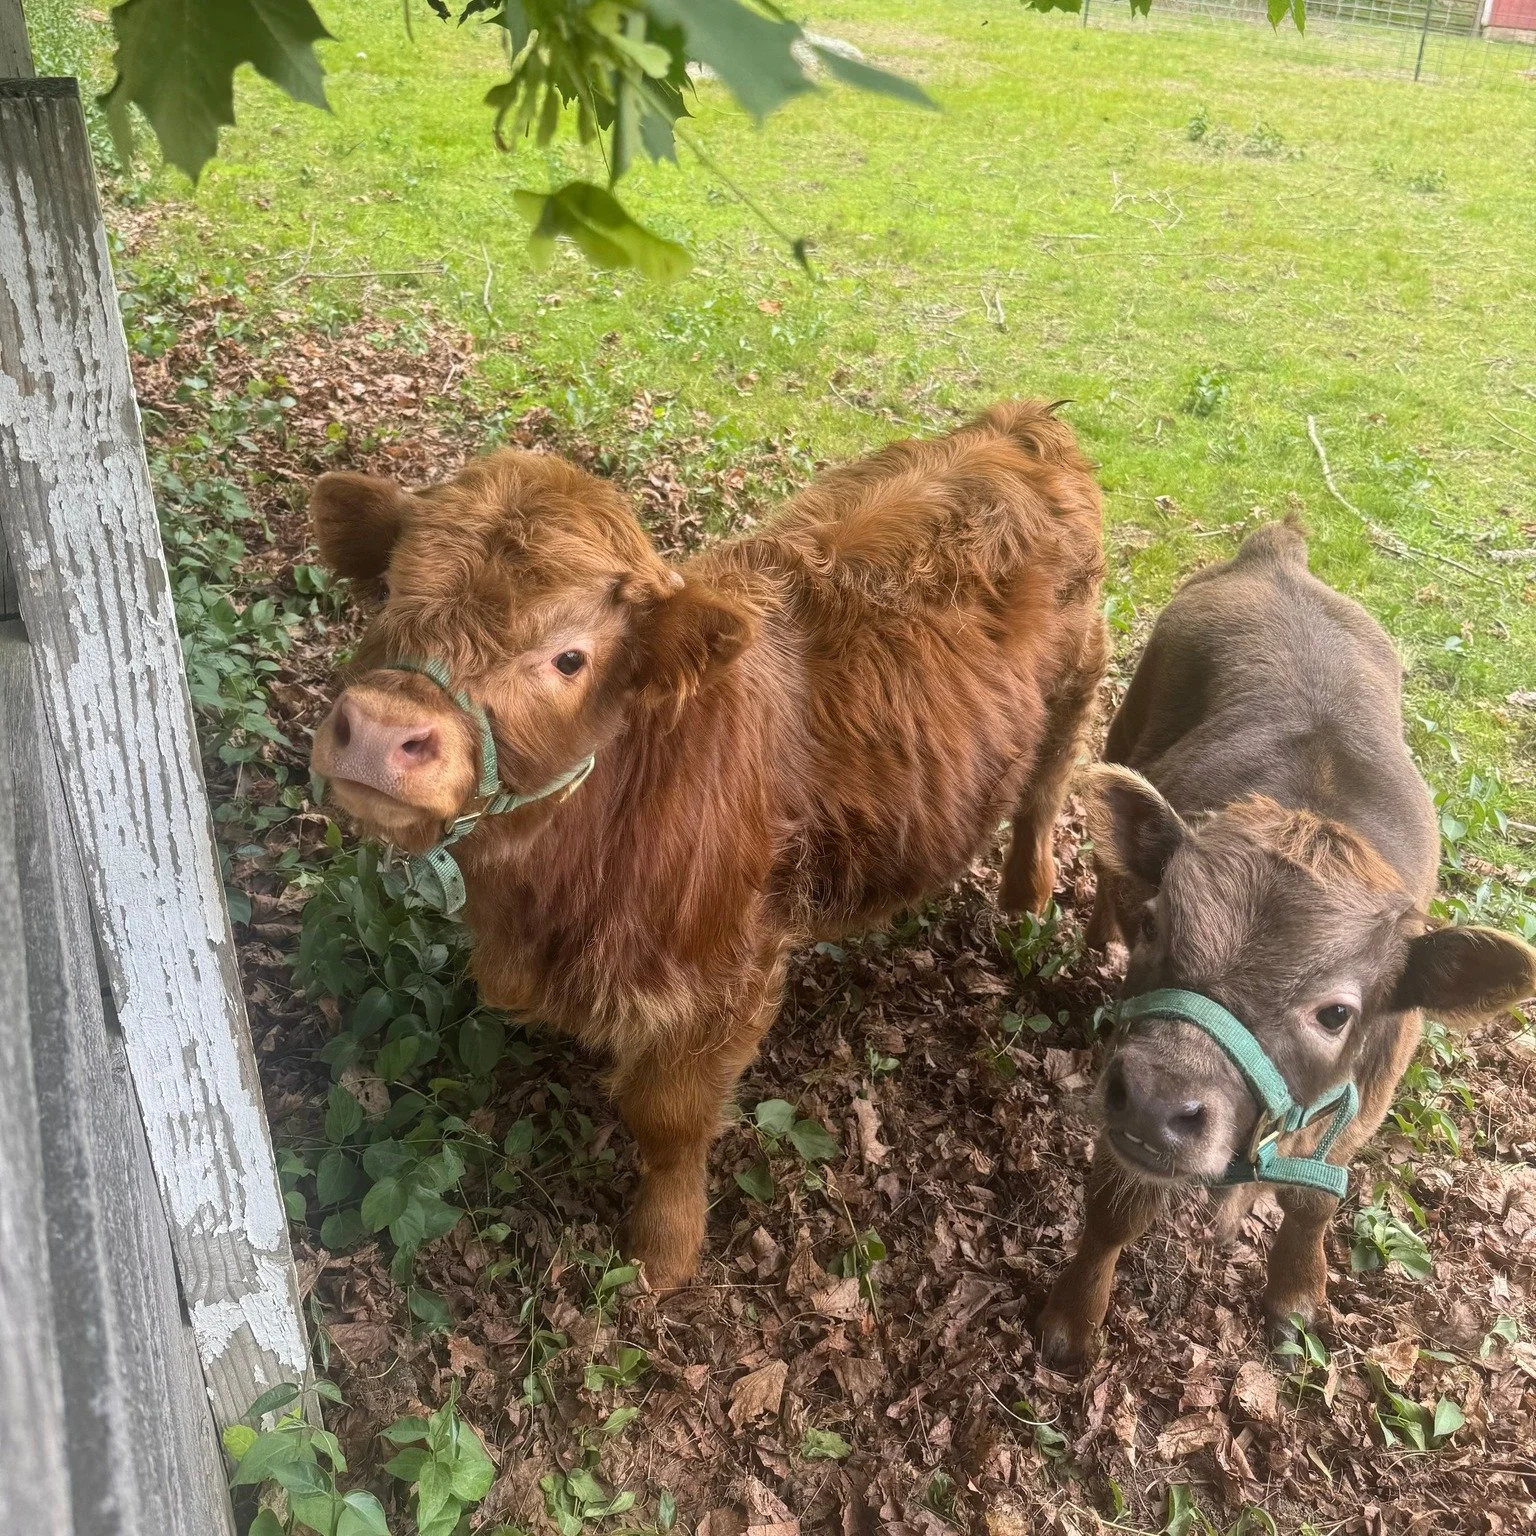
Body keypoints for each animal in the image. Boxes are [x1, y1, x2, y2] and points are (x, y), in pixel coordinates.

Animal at [309, 401, 1107, 1287]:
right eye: (386, 589)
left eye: (570, 657)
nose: (380, 729)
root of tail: (1021, 427)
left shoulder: (725, 976)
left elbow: (669, 1120)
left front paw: (664, 1249)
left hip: (1079, 683)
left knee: (1047, 787)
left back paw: (1027, 897)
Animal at [1037, 518, 1536, 1371]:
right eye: (1157, 927)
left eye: (1336, 1013)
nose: (1160, 1101)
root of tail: (1278, 553)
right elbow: (1112, 1208)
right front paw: (1072, 1319)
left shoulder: (1356, 1116)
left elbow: (1310, 1205)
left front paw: (1298, 1296)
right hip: (1126, 731)